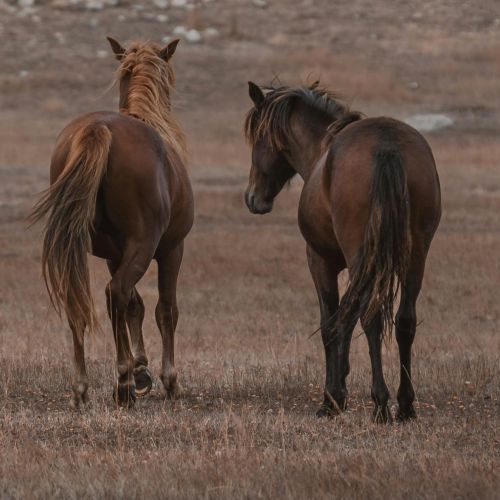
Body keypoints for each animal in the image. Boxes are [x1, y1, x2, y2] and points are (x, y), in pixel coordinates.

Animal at [29, 38, 193, 406]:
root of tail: (98, 129)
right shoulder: (172, 250)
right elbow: (164, 309)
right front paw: (166, 379)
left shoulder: (113, 255)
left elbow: (135, 305)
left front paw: (141, 368)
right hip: (146, 246)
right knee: (116, 292)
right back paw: (123, 383)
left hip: (79, 248)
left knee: (82, 300)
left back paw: (82, 387)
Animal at [244, 81, 440, 422]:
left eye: (258, 137)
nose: (253, 198)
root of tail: (387, 148)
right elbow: (345, 320)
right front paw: (341, 389)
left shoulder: (320, 260)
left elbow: (330, 323)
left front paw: (332, 398)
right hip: (415, 258)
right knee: (404, 321)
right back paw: (405, 405)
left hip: (363, 257)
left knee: (370, 318)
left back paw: (380, 403)